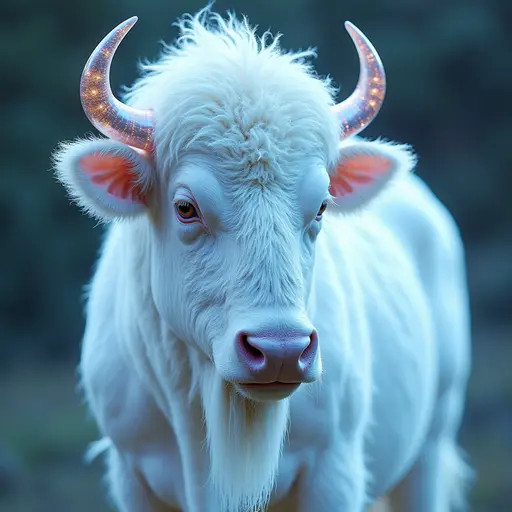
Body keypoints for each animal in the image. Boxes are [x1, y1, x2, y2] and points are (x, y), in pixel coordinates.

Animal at [52, 8, 472, 512]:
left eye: (322, 206)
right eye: (185, 207)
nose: (280, 352)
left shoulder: (335, 470)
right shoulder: (130, 474)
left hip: (431, 442)